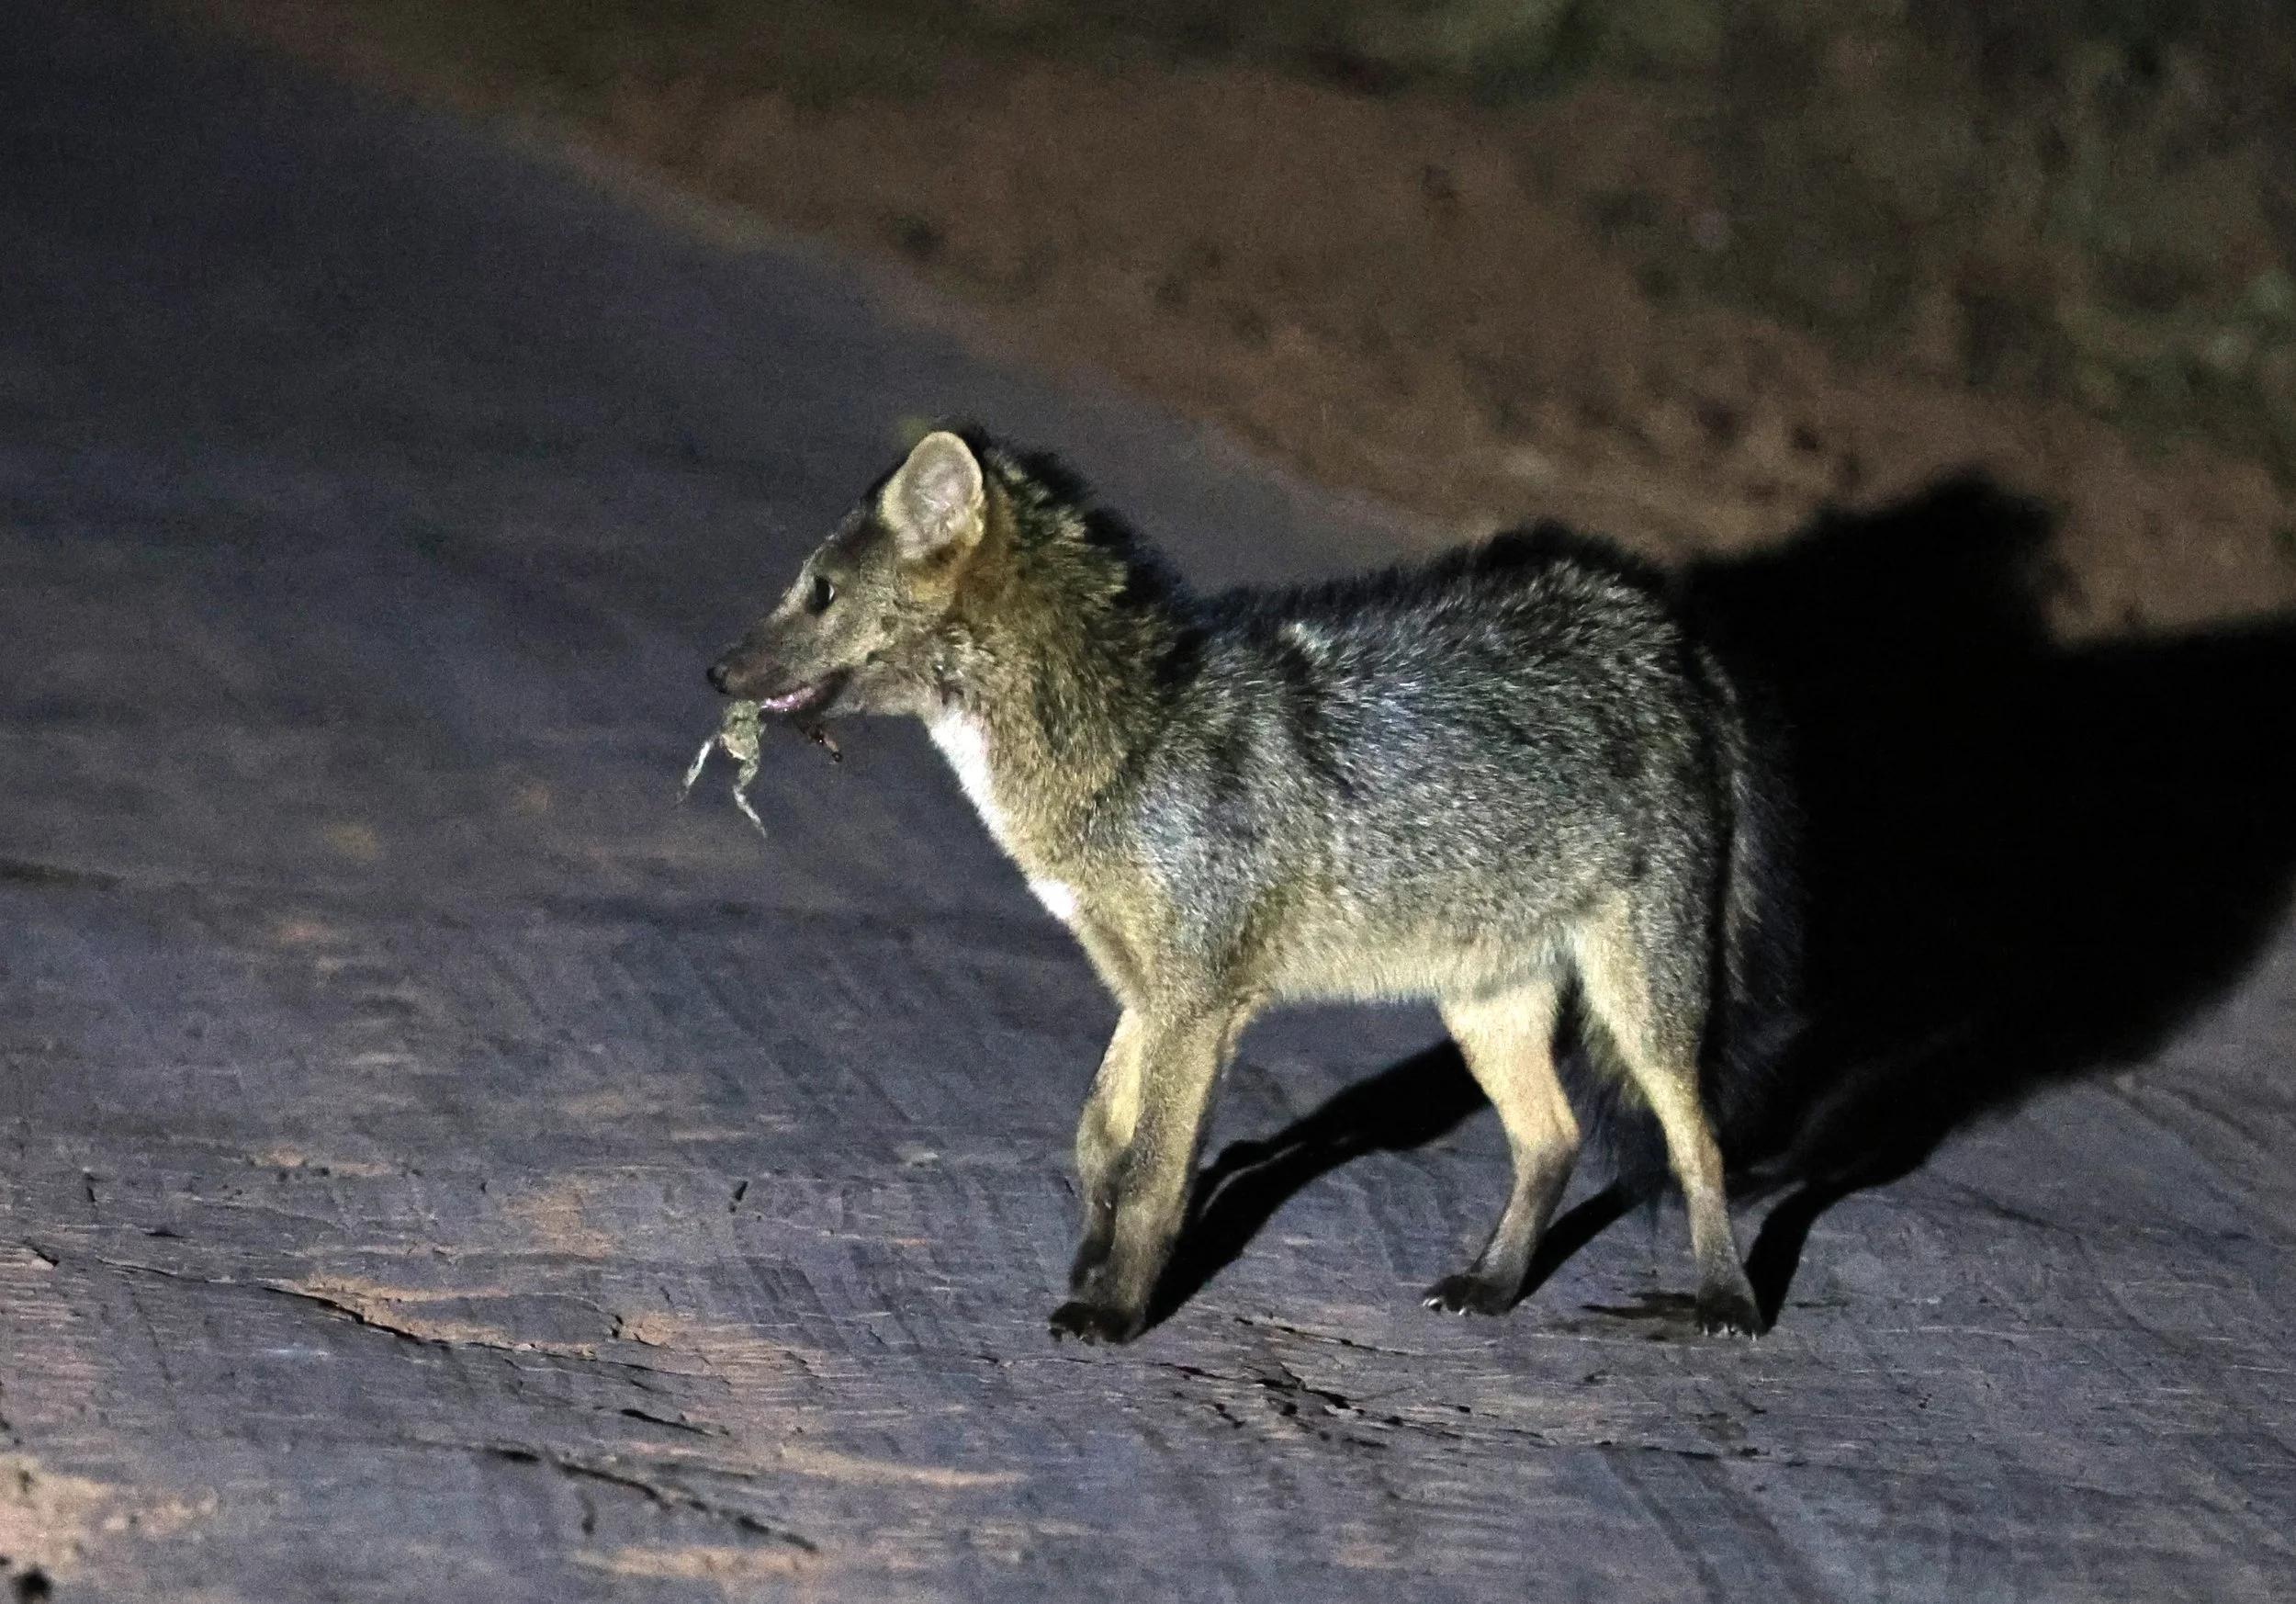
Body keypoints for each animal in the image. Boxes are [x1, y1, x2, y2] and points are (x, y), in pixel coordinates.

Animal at [708, 428, 1800, 1343]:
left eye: (818, 592)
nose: (716, 674)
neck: (1127, 749)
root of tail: (1662, 625)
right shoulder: (1148, 992)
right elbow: (1097, 1140)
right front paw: (1091, 1261)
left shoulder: (1200, 1002)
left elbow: (1155, 1169)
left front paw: (1115, 1311)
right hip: (1483, 1004)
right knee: (1554, 1141)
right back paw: (1490, 1286)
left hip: (1640, 1005)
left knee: (1699, 1149)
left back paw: (1727, 1304)